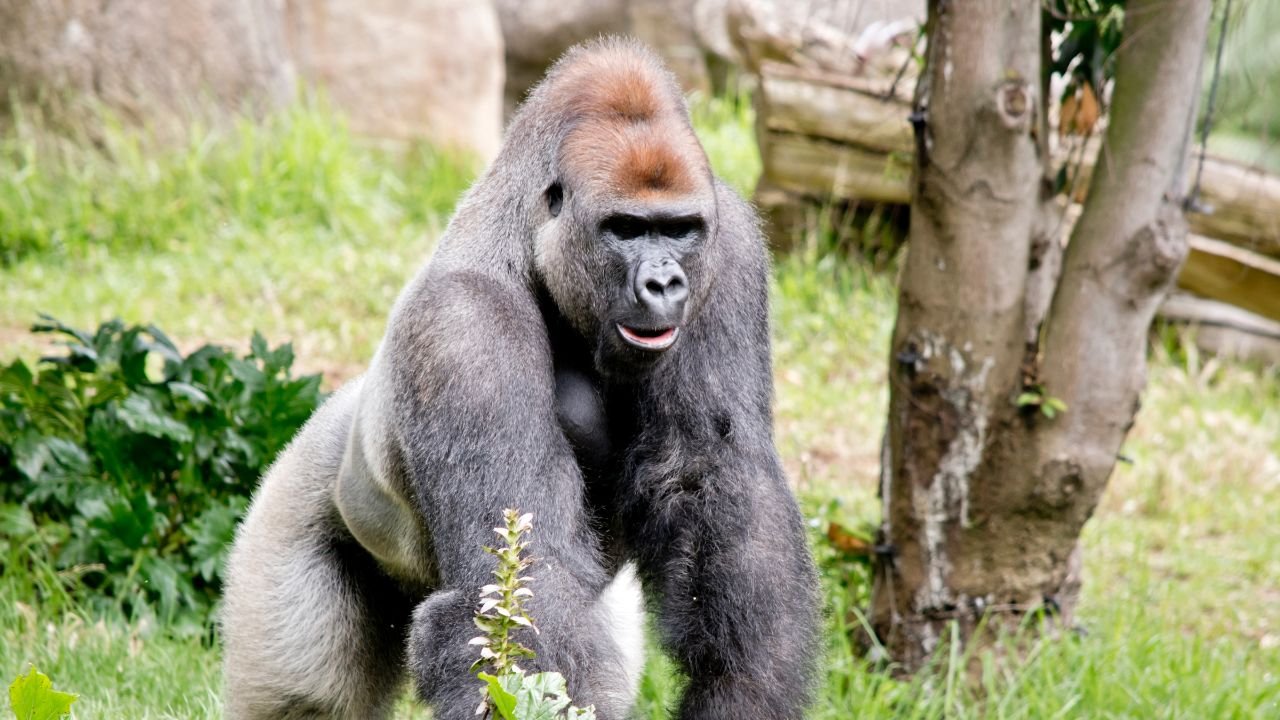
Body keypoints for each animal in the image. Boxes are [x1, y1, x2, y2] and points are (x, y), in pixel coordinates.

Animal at [220, 37, 820, 720]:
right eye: (626, 228)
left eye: (679, 229)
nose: (665, 283)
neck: (531, 244)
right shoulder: (463, 326)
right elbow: (525, 577)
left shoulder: (733, 248)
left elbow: (713, 480)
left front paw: (742, 688)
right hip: (293, 507)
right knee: (303, 695)